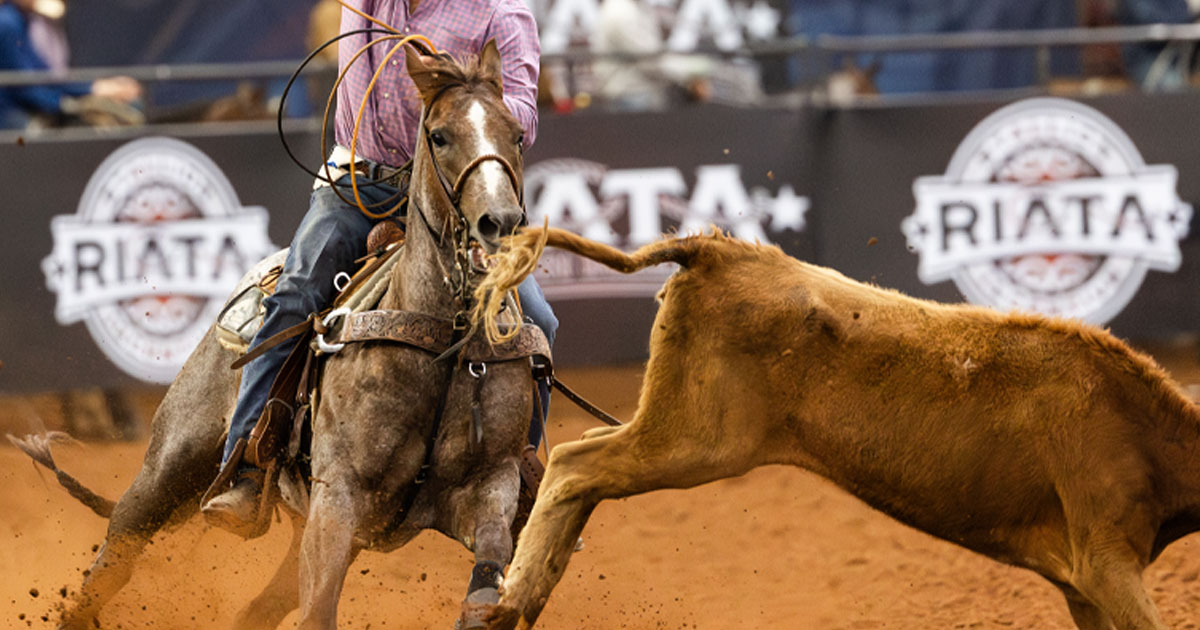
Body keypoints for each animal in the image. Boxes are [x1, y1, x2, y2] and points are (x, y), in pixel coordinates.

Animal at [471, 227, 1200, 630]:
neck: (1142, 428)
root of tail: (715, 249)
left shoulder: (1081, 585)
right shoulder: (1104, 562)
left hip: (672, 431)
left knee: (582, 460)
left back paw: (522, 598)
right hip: (694, 441)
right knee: (575, 466)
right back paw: (509, 602)